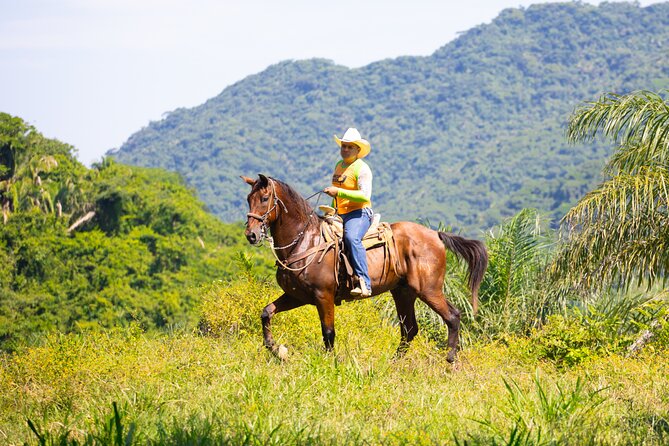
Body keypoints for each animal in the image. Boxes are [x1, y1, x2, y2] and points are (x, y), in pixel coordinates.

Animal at [242, 174, 488, 362]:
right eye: (248, 199)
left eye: (265, 198)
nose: (251, 235)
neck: (305, 241)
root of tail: (436, 235)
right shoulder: (296, 296)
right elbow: (266, 313)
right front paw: (277, 350)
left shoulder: (323, 295)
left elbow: (328, 332)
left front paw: (329, 362)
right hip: (403, 292)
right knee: (409, 329)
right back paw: (395, 362)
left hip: (428, 290)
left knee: (452, 316)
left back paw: (450, 359)